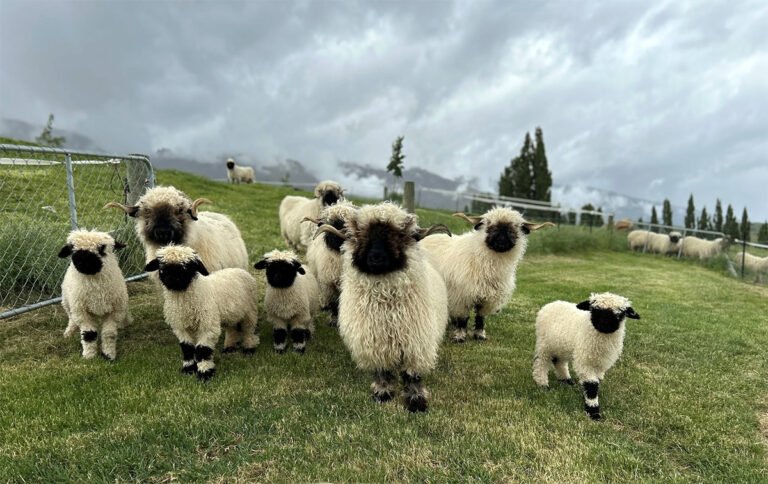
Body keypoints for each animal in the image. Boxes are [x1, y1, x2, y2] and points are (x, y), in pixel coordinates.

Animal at [58, 229, 129, 361]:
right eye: (72, 249)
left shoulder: (115, 312)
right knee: (71, 318)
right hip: (67, 302)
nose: (81, 262)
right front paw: (89, 355)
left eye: (101, 249)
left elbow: (109, 334)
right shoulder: (82, 312)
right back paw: (69, 332)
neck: (96, 288)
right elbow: (89, 334)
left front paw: (108, 355)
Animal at [144, 245, 259, 380]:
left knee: (248, 330)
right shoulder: (181, 327)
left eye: (187, 267)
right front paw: (188, 369)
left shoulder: (207, 326)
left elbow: (202, 350)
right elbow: (187, 348)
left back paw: (249, 349)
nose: (171, 279)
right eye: (162, 267)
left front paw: (205, 373)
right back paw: (229, 348)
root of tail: (239, 270)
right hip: (229, 314)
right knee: (231, 329)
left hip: (249, 311)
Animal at [315, 202, 451, 412]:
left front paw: (416, 401)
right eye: (361, 235)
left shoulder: (416, 343)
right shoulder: (374, 340)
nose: (376, 257)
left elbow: (412, 375)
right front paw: (383, 393)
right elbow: (382, 371)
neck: (385, 305)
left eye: (399, 236)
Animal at [420, 208, 554, 343]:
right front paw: (460, 337)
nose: (502, 235)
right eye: (490, 226)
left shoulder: (488, 299)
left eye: (514, 228)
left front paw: (479, 335)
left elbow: (480, 318)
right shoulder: (462, 297)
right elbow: (463, 319)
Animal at [532, 292, 640, 420]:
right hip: (545, 344)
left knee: (559, 362)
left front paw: (587, 399)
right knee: (540, 363)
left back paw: (566, 380)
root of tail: (551, 304)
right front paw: (593, 412)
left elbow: (596, 382)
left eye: (619, 315)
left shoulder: (600, 365)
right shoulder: (584, 362)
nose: (603, 325)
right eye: (594, 311)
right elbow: (591, 385)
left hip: (561, 345)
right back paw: (543, 384)